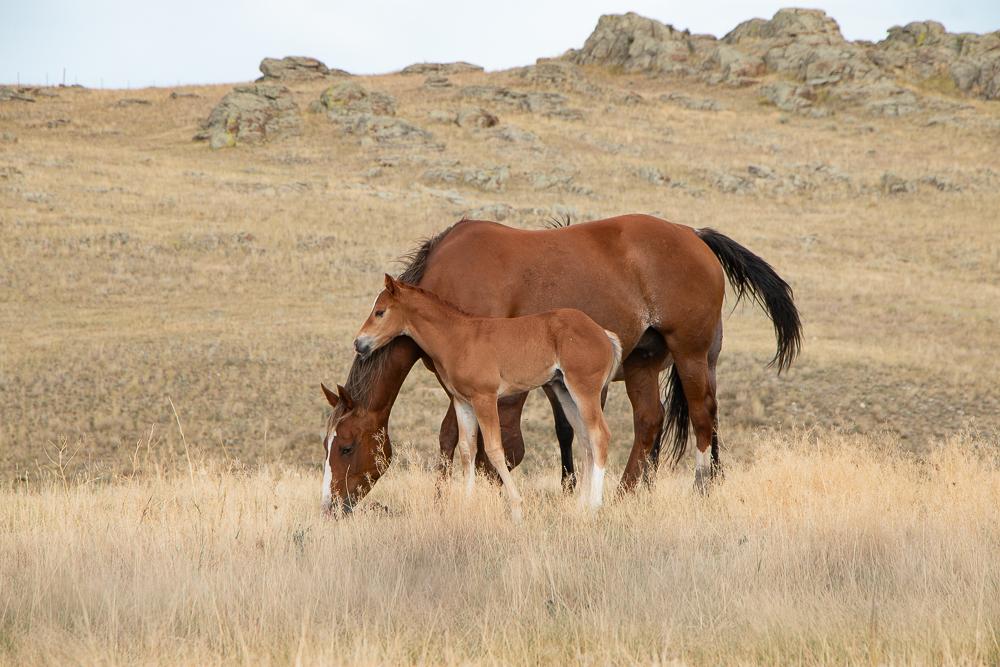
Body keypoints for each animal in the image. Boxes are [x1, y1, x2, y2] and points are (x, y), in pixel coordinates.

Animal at [344, 274, 623, 521]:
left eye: (380, 312)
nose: (359, 343)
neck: (457, 338)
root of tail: (603, 333)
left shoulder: (485, 398)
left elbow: (493, 449)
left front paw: (517, 508)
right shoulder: (462, 401)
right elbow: (467, 451)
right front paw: (467, 506)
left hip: (584, 389)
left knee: (599, 435)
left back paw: (594, 506)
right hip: (563, 390)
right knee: (586, 440)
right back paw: (580, 507)